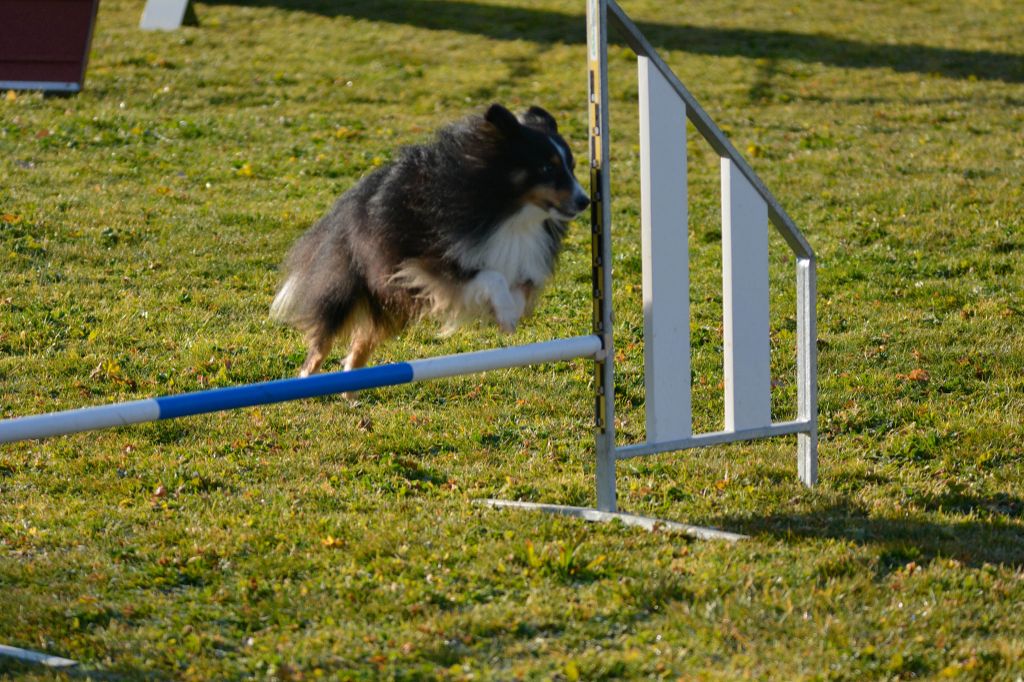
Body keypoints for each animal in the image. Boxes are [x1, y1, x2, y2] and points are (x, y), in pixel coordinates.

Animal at [270, 104, 593, 376]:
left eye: (572, 167)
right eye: (548, 168)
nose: (585, 201)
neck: (508, 211)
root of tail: (344, 204)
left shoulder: (522, 260)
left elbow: (521, 287)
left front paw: (509, 312)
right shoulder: (430, 261)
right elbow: (491, 276)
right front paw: (505, 312)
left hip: (394, 301)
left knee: (364, 337)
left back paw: (351, 386)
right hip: (351, 284)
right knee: (323, 338)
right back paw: (307, 378)